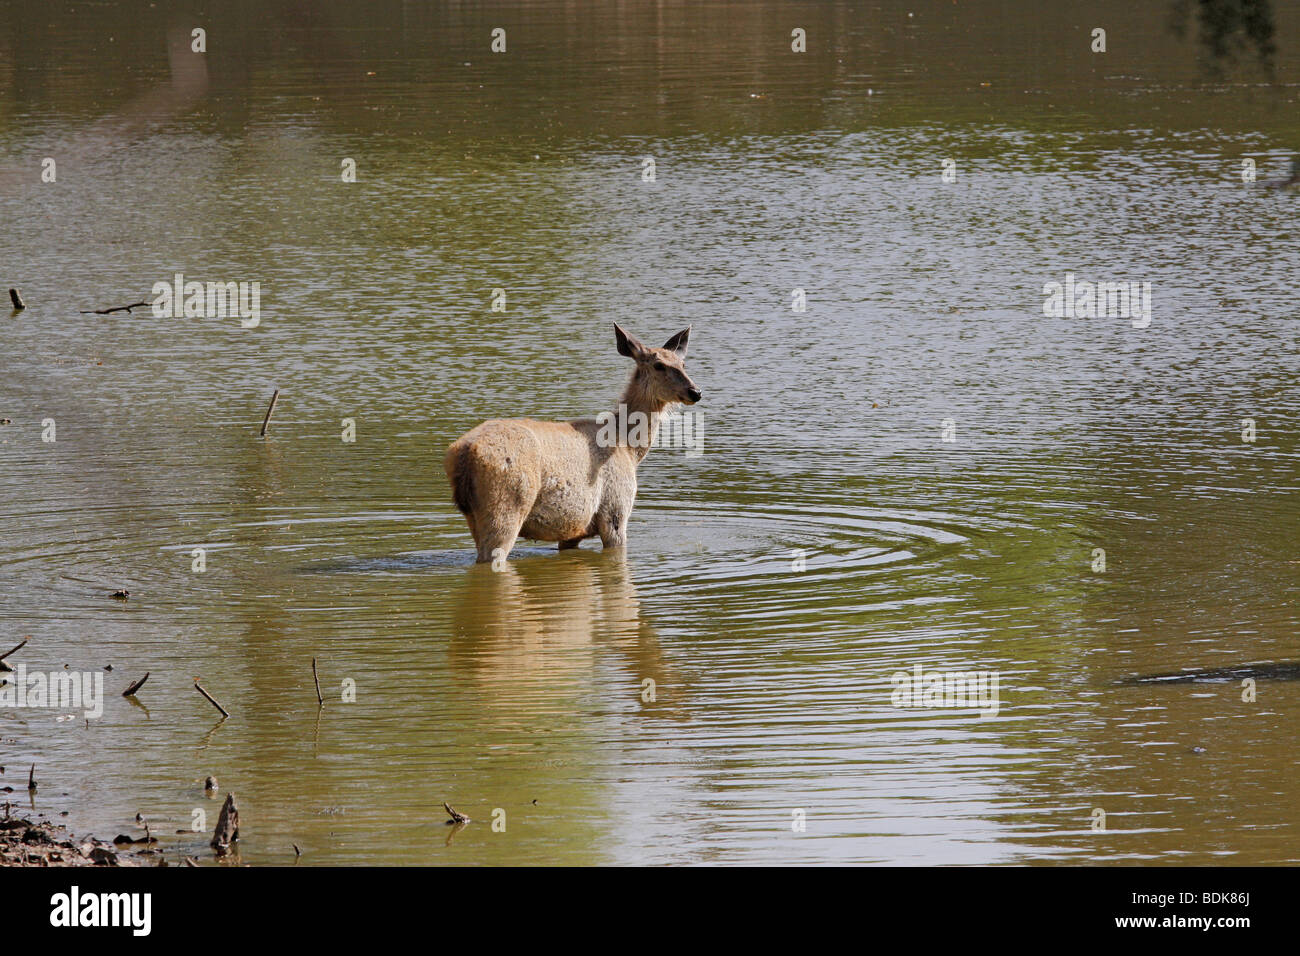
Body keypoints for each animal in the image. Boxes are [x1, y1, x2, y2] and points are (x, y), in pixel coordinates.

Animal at [444, 323, 702, 561]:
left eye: (683, 364)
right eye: (659, 365)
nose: (695, 392)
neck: (629, 448)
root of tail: (465, 453)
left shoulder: (573, 530)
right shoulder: (615, 511)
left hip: (475, 516)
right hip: (506, 505)